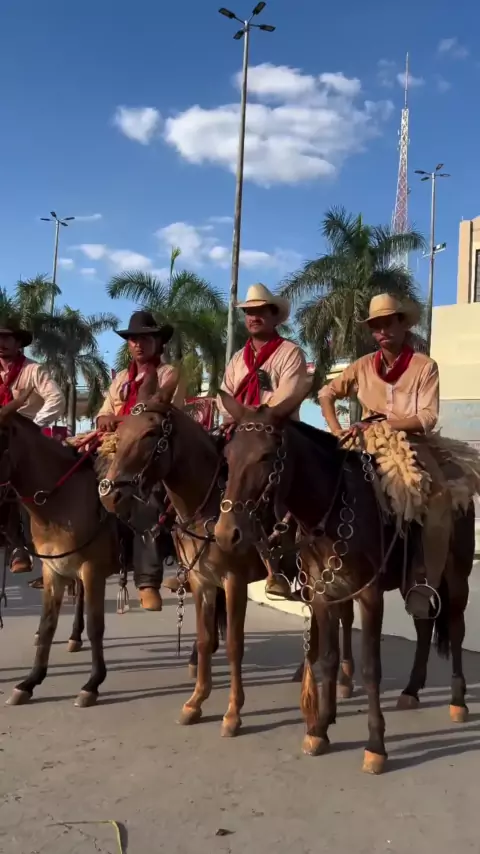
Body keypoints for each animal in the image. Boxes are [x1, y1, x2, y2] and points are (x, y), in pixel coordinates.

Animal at [0, 395, 120, 708]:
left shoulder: (92, 569)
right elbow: (47, 625)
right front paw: (30, 682)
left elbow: (96, 626)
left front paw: (92, 683)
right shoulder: (53, 569)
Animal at [214, 392, 474, 774]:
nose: (226, 533)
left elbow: (370, 668)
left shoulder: (369, 596)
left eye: (266, 456)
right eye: (229, 457)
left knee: (454, 627)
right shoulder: (325, 596)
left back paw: (458, 700)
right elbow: (328, 659)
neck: (332, 510)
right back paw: (411, 690)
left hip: (456, 576)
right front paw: (320, 729)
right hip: (417, 580)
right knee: (424, 622)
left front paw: (376, 745)